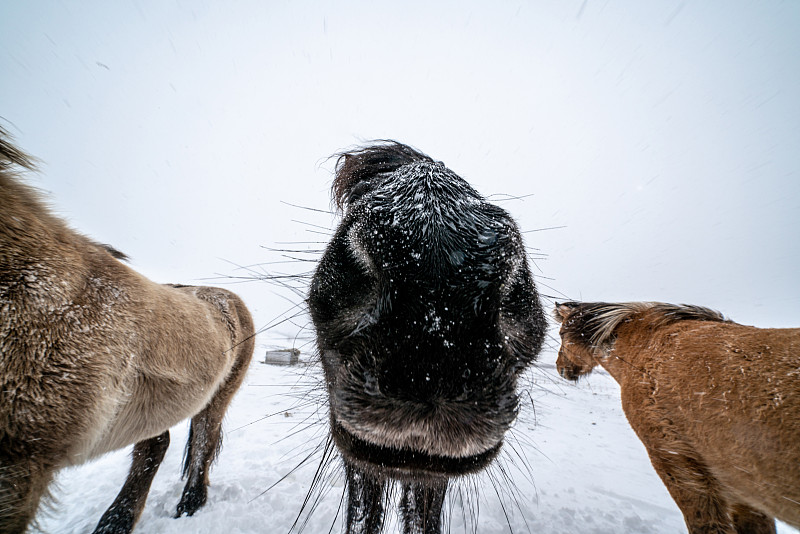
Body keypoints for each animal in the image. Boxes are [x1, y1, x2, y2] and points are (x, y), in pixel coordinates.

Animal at [0, 131, 255, 534]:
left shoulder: (24, 461)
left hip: (217, 398)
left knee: (203, 440)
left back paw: (188, 504)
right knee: (155, 445)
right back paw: (118, 520)